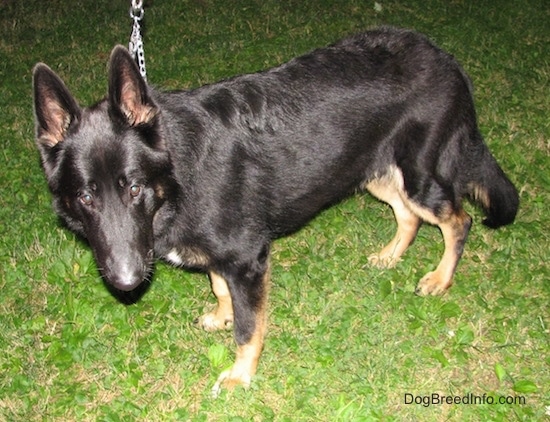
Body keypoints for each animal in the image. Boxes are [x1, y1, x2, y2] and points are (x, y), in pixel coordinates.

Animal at [32, 27, 520, 396]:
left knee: (458, 220)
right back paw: (391, 255)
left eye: (133, 188)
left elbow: (249, 329)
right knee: (408, 215)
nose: (126, 280)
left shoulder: (248, 259)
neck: (176, 177)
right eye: (86, 198)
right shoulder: (227, 254)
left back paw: (441, 278)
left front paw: (240, 374)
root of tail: (446, 60)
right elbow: (218, 284)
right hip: (372, 170)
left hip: (418, 175)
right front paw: (222, 313)